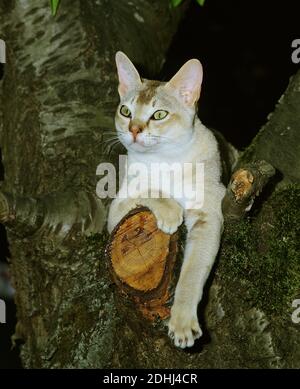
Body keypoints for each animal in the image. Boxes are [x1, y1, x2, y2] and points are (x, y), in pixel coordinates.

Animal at [108, 50, 225, 348]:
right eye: (125, 111)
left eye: (159, 114)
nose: (134, 129)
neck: (165, 160)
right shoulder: (115, 211)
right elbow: (148, 189)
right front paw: (171, 211)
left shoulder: (209, 213)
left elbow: (192, 273)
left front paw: (182, 322)